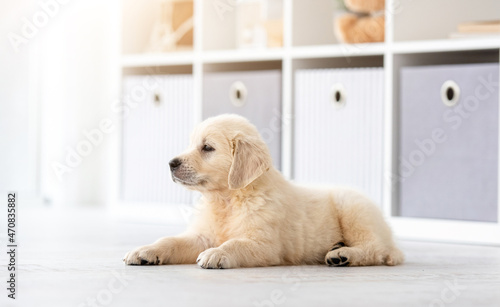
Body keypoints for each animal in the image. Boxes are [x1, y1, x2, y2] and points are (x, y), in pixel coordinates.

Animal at [123, 114, 404, 268]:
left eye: (207, 148)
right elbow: (170, 240)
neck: (227, 199)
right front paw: (145, 251)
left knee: (378, 250)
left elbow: (235, 243)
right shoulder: (202, 235)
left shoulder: (265, 245)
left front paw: (217, 253)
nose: (171, 163)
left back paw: (343, 254)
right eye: (192, 144)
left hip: (354, 208)